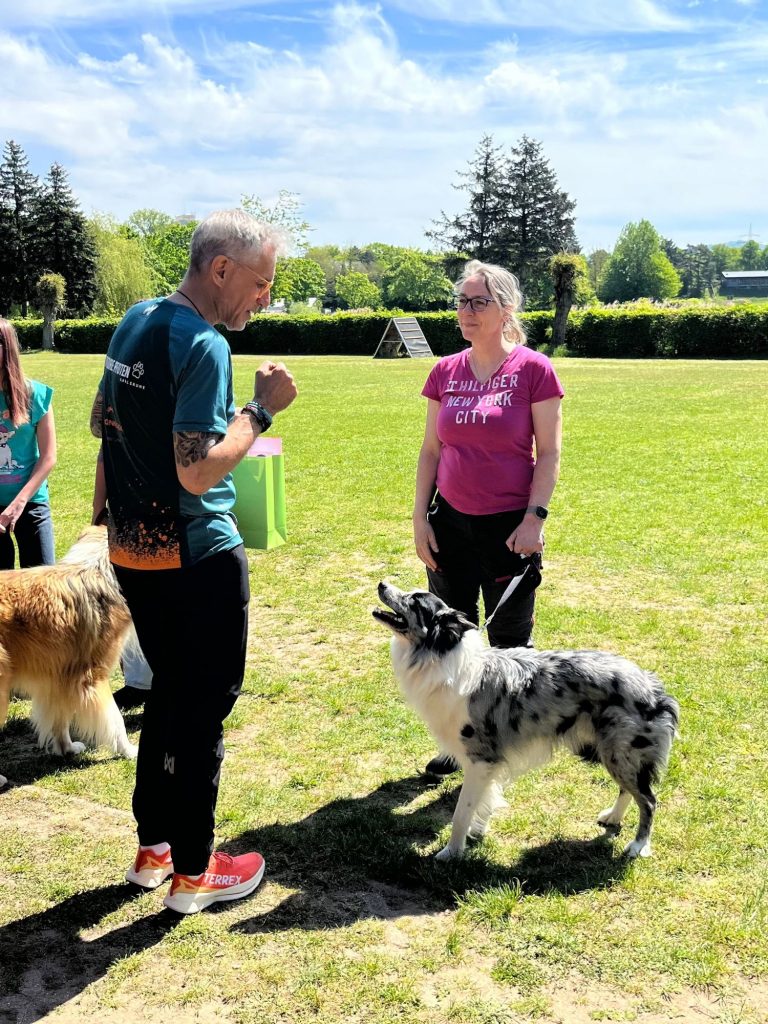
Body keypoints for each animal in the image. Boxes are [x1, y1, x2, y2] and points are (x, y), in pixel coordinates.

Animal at [0, 525, 138, 772]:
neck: (99, 570)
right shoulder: (93, 678)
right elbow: (116, 721)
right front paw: (129, 751)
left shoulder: (59, 677)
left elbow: (60, 717)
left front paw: (67, 748)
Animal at [373, 583, 679, 861]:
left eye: (415, 601)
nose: (382, 583)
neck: (441, 657)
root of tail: (654, 686)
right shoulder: (489, 764)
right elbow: (483, 801)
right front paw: (477, 832)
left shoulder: (480, 758)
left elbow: (461, 811)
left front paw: (451, 853)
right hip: (614, 752)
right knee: (631, 790)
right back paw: (613, 817)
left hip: (620, 752)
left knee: (649, 800)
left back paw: (638, 846)